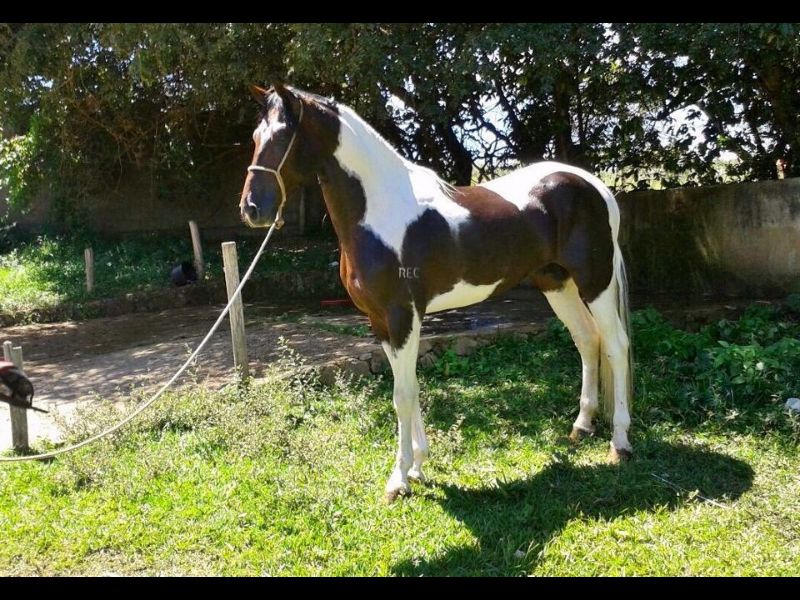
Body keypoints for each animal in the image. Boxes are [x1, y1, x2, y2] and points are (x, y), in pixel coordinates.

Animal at [239, 83, 633, 502]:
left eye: (283, 137)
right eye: (255, 137)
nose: (252, 209)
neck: (381, 210)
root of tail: (594, 185)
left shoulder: (403, 314)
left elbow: (401, 395)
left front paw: (398, 479)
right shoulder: (381, 321)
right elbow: (409, 386)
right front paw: (418, 467)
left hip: (595, 281)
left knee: (615, 344)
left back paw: (620, 444)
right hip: (556, 283)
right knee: (587, 340)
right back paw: (581, 427)